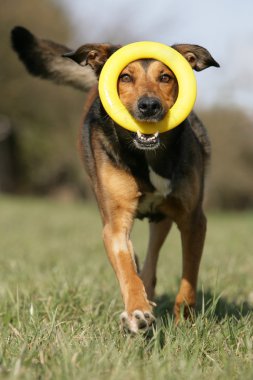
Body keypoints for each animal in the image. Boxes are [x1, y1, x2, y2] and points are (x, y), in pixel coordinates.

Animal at [11, 26, 219, 334]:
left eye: (165, 77)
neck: (147, 157)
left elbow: (188, 281)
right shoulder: (115, 225)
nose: (149, 106)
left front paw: (185, 323)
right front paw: (137, 312)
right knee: (136, 263)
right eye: (125, 77)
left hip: (163, 218)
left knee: (151, 261)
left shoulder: (193, 220)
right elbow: (126, 269)